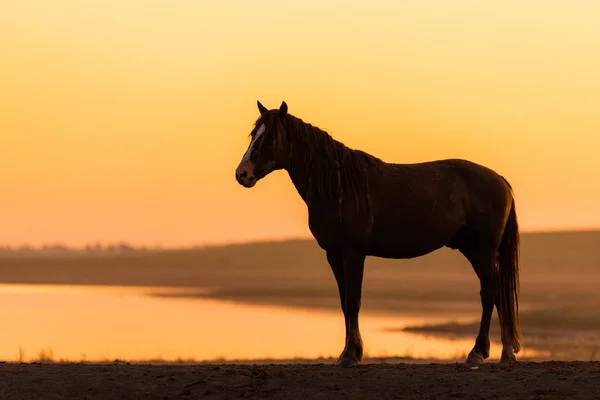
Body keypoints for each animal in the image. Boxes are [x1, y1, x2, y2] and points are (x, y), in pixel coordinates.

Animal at [234, 101, 520, 368]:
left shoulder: (353, 253)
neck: (338, 186)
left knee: (489, 293)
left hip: (483, 251)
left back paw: (477, 353)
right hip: (474, 251)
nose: (242, 174)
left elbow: (353, 301)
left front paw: (350, 355)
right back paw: (505, 353)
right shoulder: (333, 254)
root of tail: (500, 180)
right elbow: (344, 302)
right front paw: (350, 352)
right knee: (497, 294)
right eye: (253, 134)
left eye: (270, 137)